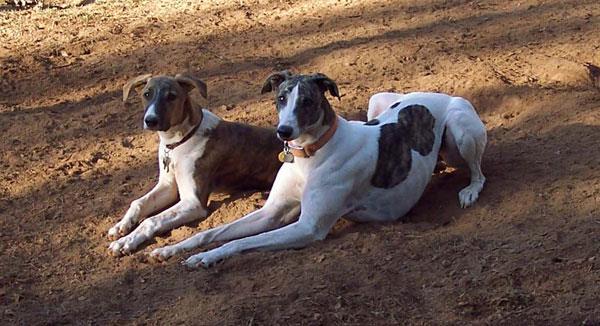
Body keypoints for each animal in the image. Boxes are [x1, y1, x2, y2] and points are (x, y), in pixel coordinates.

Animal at [108, 74, 282, 255]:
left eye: (172, 96)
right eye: (147, 94)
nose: (151, 121)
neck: (177, 142)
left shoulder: (194, 202)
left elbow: (152, 220)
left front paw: (126, 241)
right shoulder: (168, 186)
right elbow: (138, 202)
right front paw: (121, 225)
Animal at [150, 71, 488, 268]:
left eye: (308, 101)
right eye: (281, 98)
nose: (283, 132)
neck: (307, 157)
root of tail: (441, 94)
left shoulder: (308, 227)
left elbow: (237, 242)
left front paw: (206, 258)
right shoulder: (272, 212)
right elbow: (213, 232)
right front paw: (176, 249)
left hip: (460, 129)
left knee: (479, 172)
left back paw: (470, 191)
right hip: (378, 100)